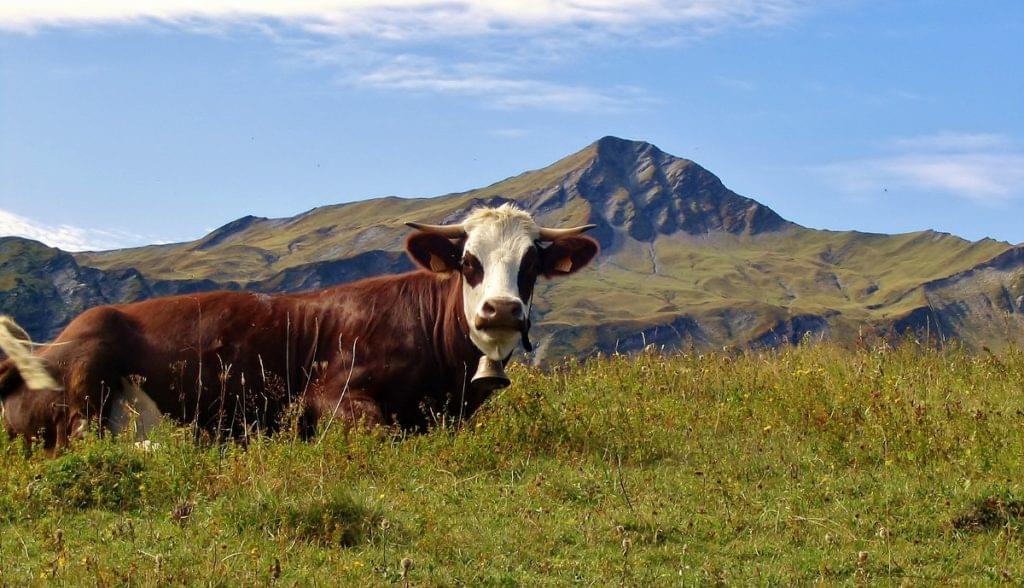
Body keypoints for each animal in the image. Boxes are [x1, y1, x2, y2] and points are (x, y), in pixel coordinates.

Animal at [0, 205, 598, 449]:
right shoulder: (329, 393)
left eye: (531, 264)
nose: (501, 310)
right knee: (84, 440)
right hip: (91, 357)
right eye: (469, 261)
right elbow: (383, 433)